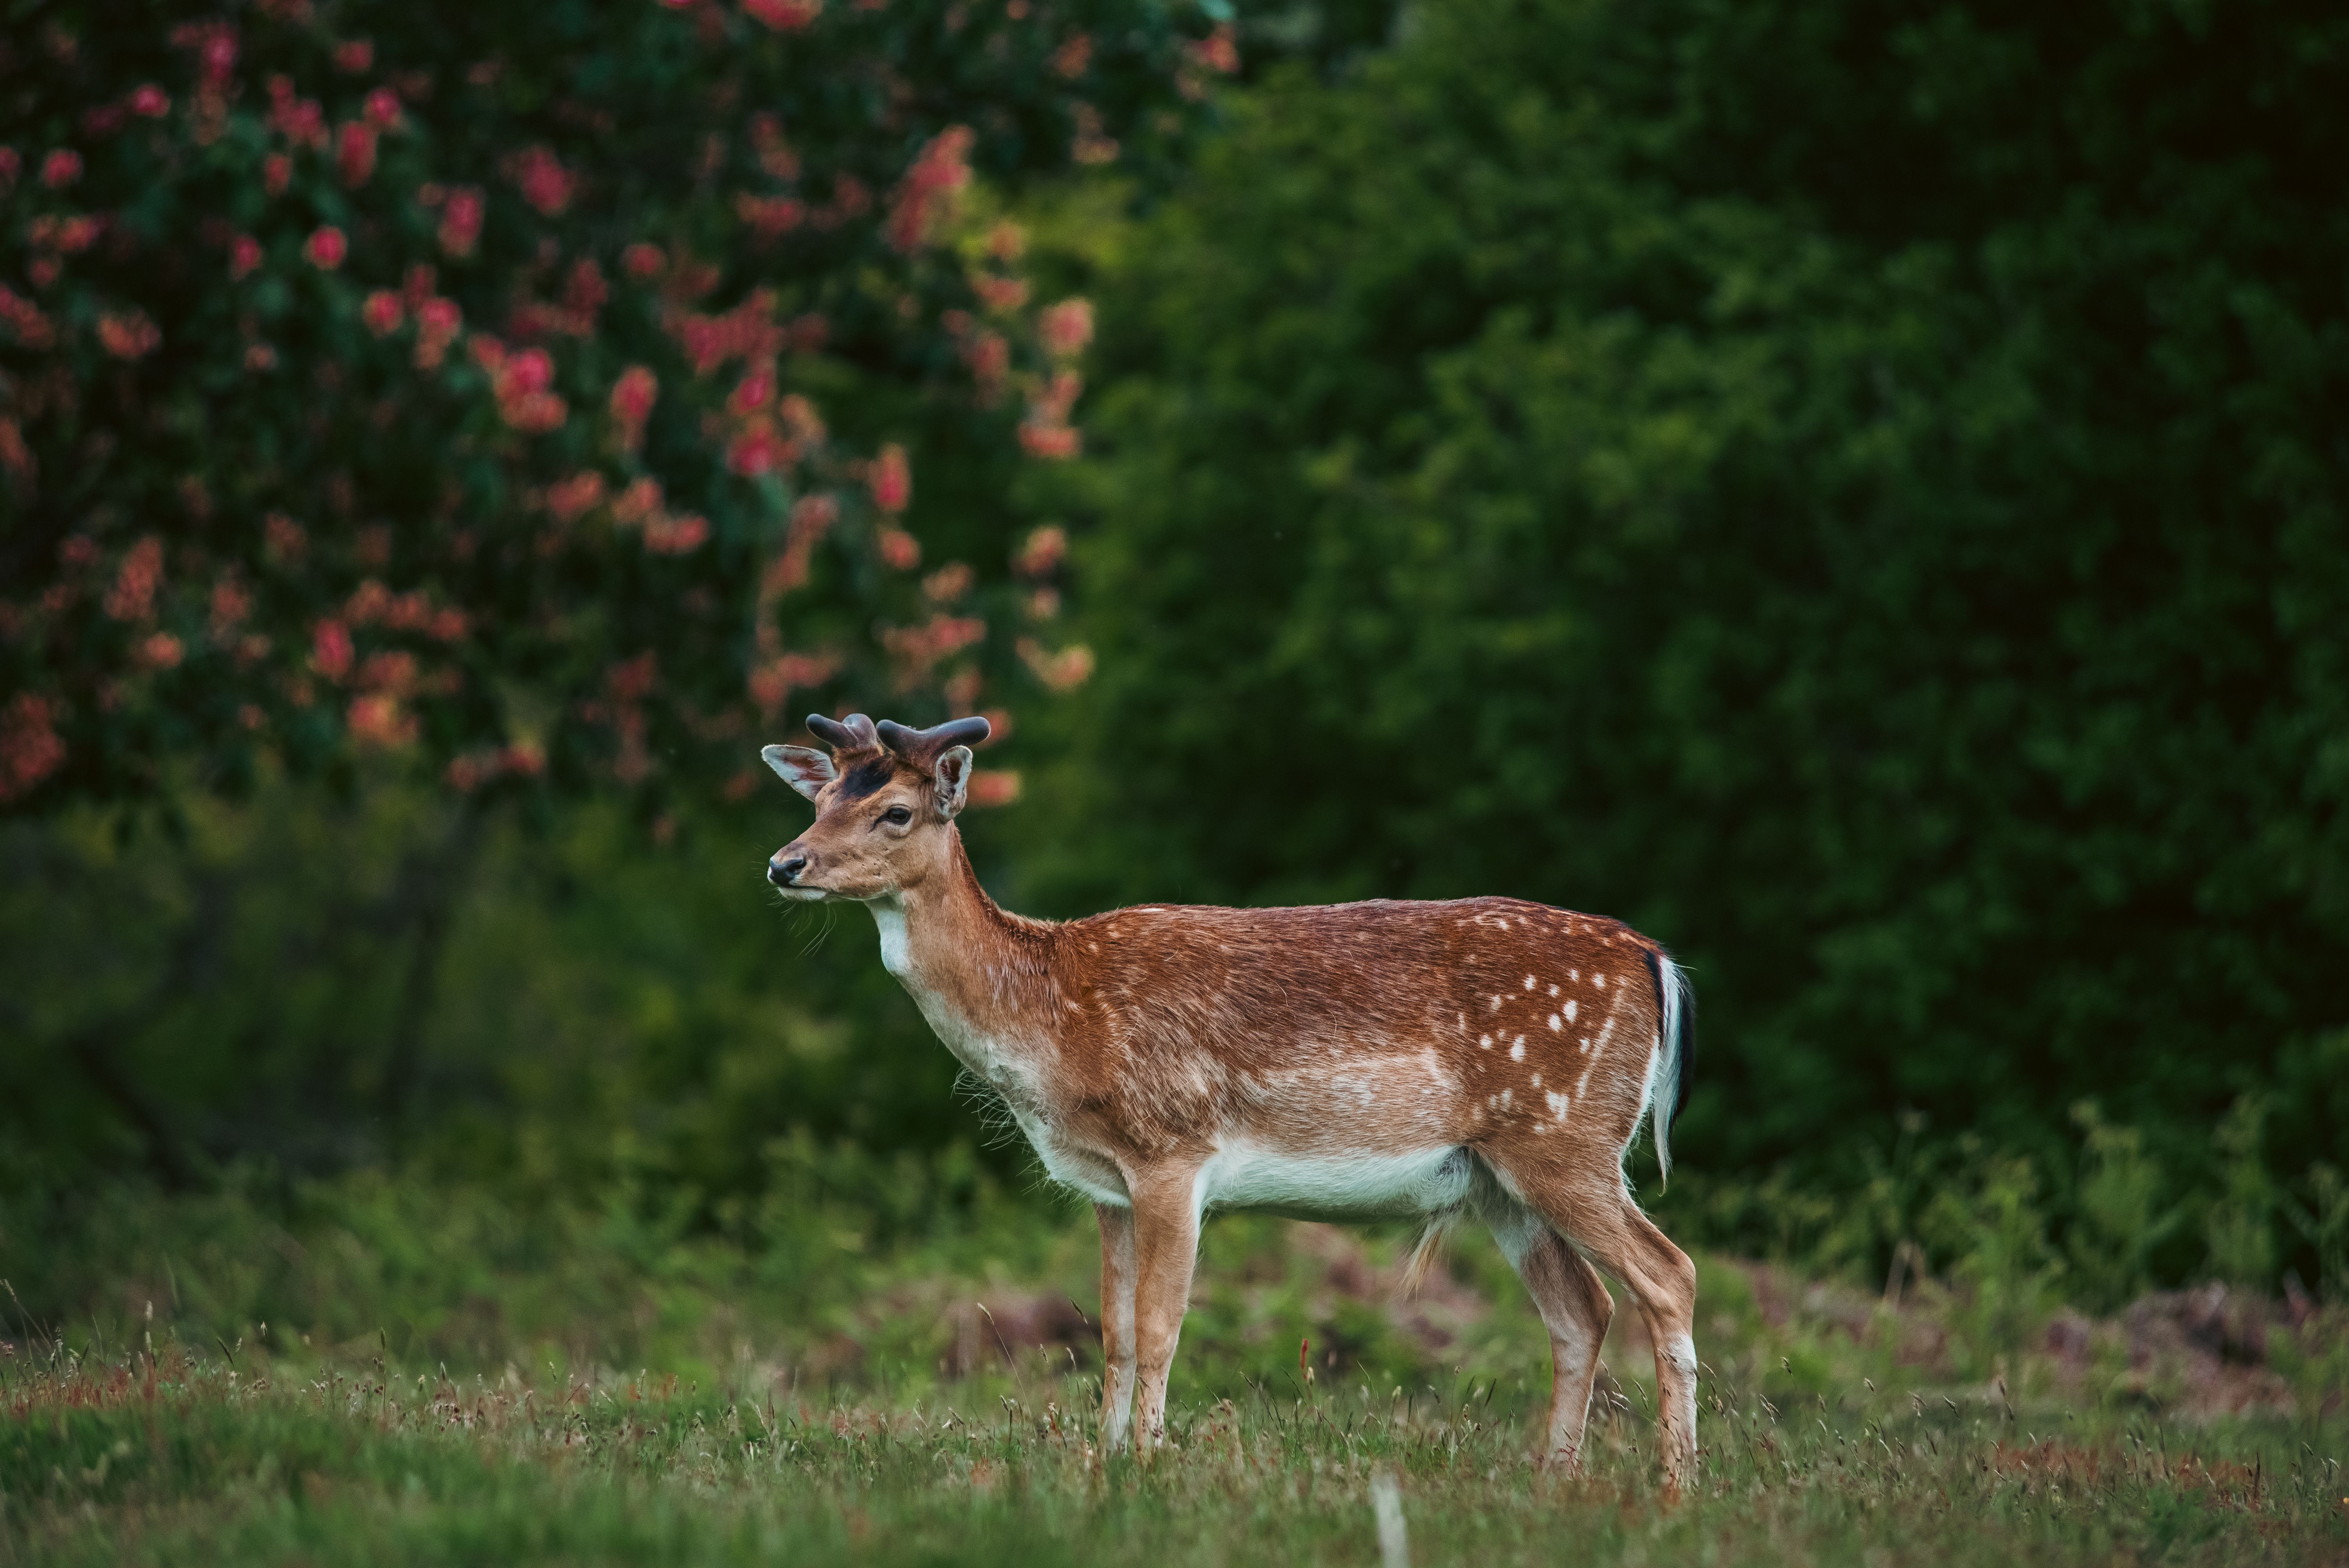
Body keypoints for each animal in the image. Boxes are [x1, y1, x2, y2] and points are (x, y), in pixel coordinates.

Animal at [761, 712, 1699, 1486]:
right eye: (822, 798)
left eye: (895, 812)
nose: (783, 863)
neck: (1053, 1022)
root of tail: (1655, 960)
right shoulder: (1106, 1185)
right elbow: (1112, 1331)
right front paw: (1105, 1464)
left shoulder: (1172, 1150)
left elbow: (1159, 1325)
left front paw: (1149, 1466)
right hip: (1497, 1177)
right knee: (1582, 1309)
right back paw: (1555, 1481)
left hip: (1565, 1135)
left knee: (1668, 1274)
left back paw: (1675, 1485)